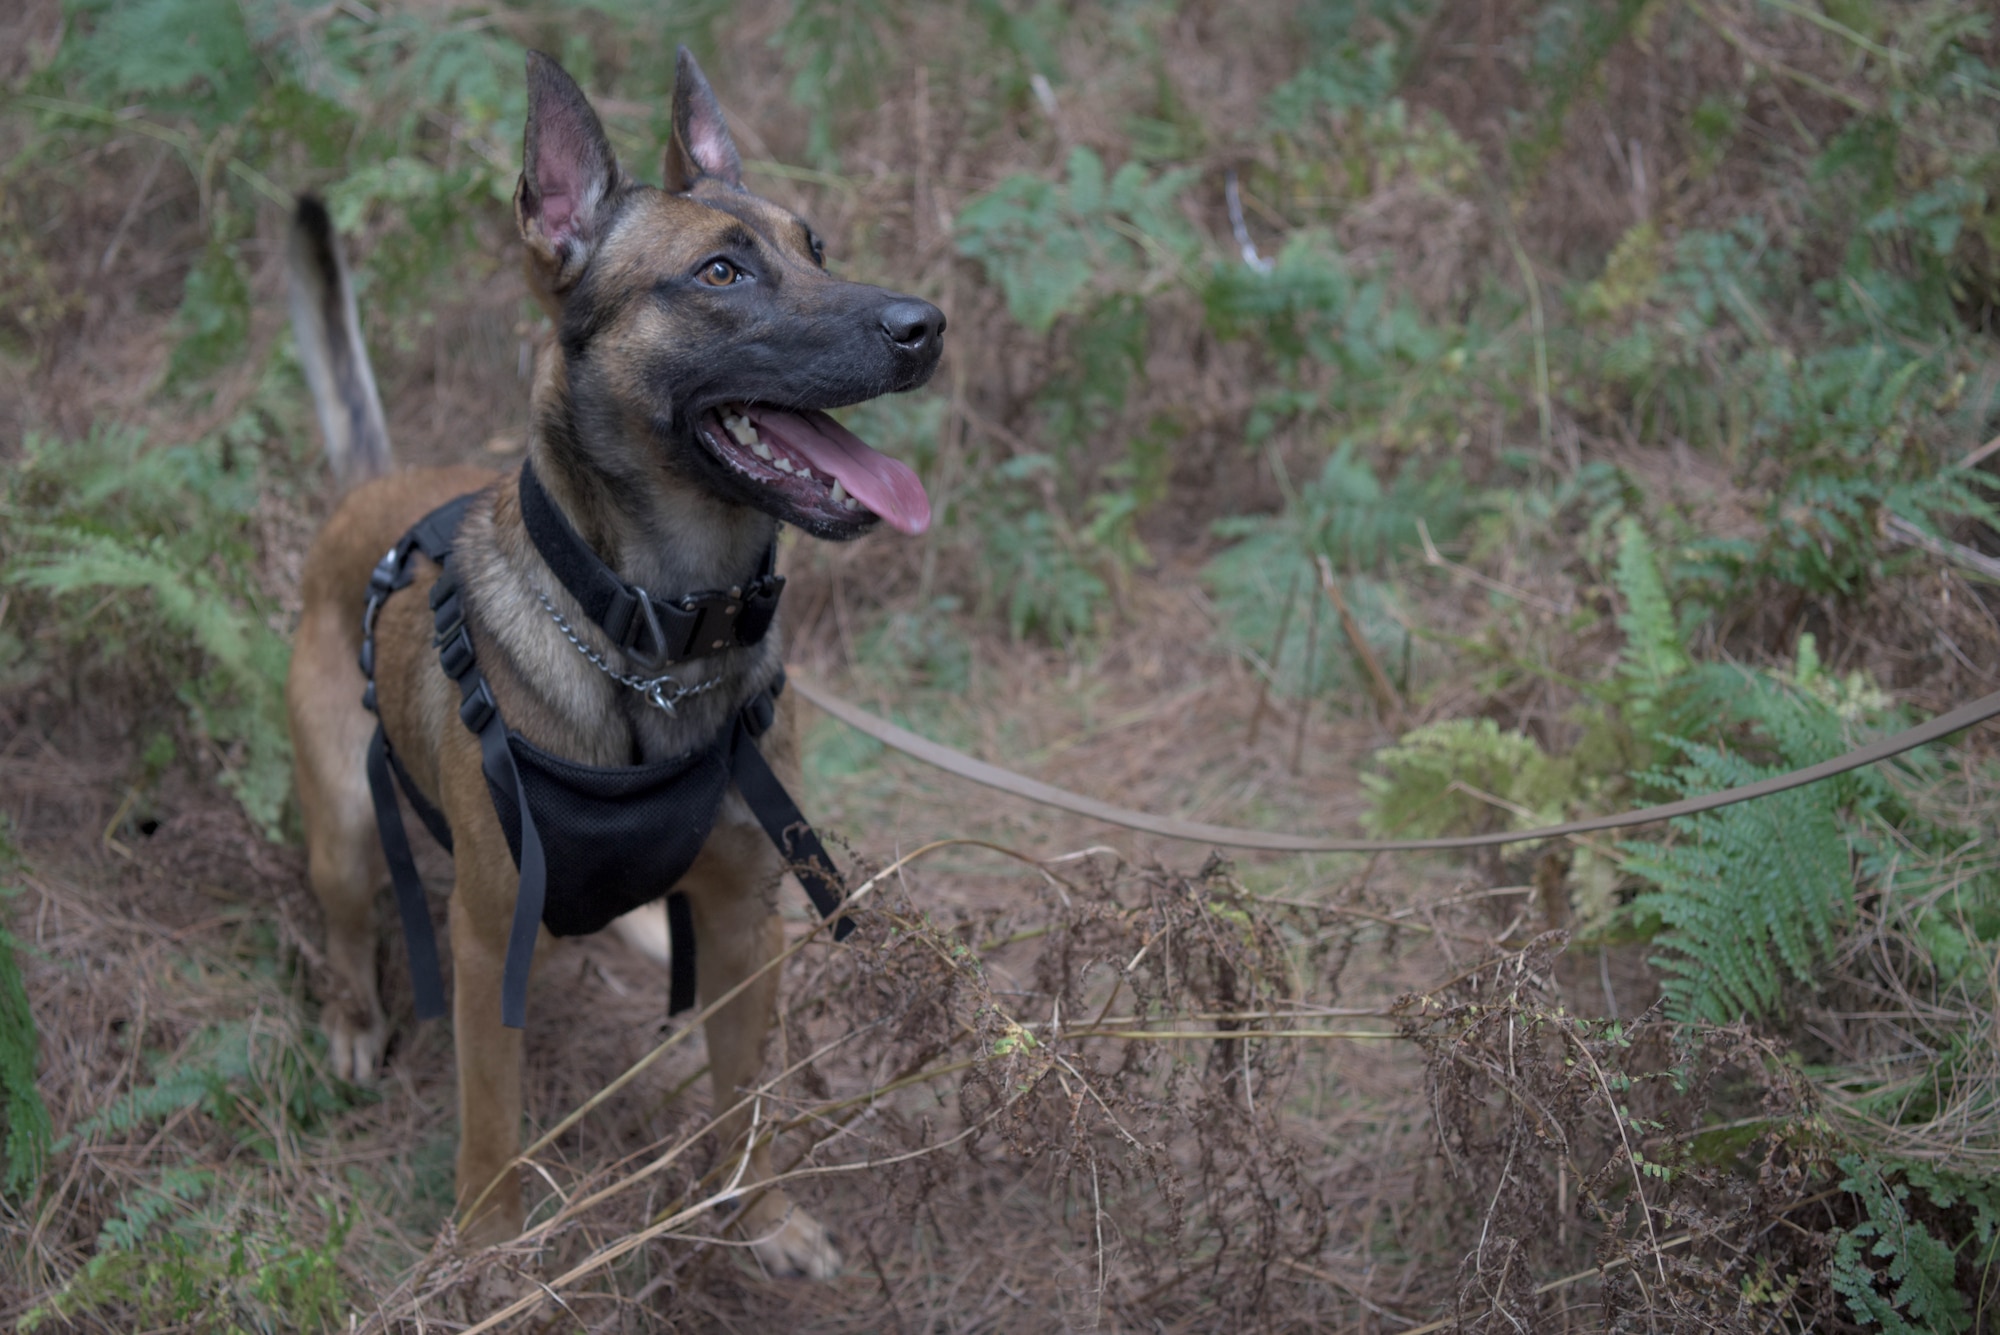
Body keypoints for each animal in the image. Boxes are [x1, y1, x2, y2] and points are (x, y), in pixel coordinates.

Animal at [284, 44, 944, 1271]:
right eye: (721, 272)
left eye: (816, 246)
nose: (927, 324)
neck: (661, 635)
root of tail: (370, 495)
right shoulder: (489, 934)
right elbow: (491, 1132)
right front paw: (492, 1262)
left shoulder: (745, 924)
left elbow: (747, 1098)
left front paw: (760, 1217)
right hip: (346, 829)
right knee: (347, 923)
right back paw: (352, 1020)